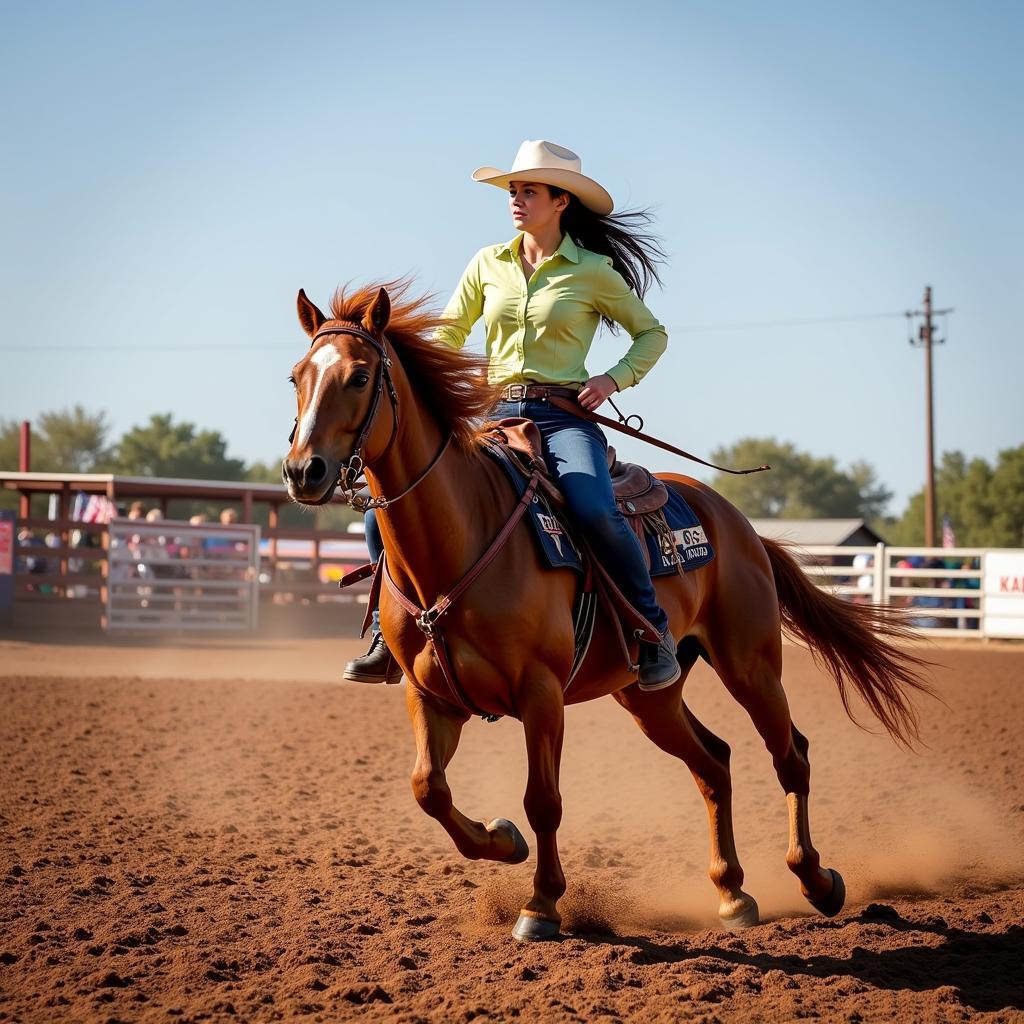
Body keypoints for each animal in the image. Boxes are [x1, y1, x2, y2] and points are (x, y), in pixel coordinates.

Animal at [282, 282, 937, 942]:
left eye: (360, 376)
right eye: (296, 376)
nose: (302, 471)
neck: (460, 536)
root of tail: (740, 525)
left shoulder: (541, 694)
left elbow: (543, 800)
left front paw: (541, 906)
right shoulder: (430, 696)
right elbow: (428, 789)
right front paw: (503, 840)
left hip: (751, 666)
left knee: (790, 756)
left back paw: (816, 880)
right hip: (649, 697)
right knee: (714, 762)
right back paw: (731, 893)